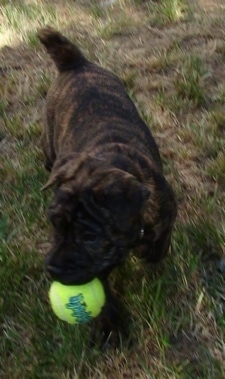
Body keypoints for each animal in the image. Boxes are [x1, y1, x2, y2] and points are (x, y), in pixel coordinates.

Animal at [37, 27, 177, 348]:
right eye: (54, 223)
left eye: (90, 237)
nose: (53, 269)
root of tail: (75, 63)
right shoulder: (94, 267)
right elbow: (104, 292)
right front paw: (110, 325)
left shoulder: (166, 212)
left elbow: (159, 245)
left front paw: (151, 253)